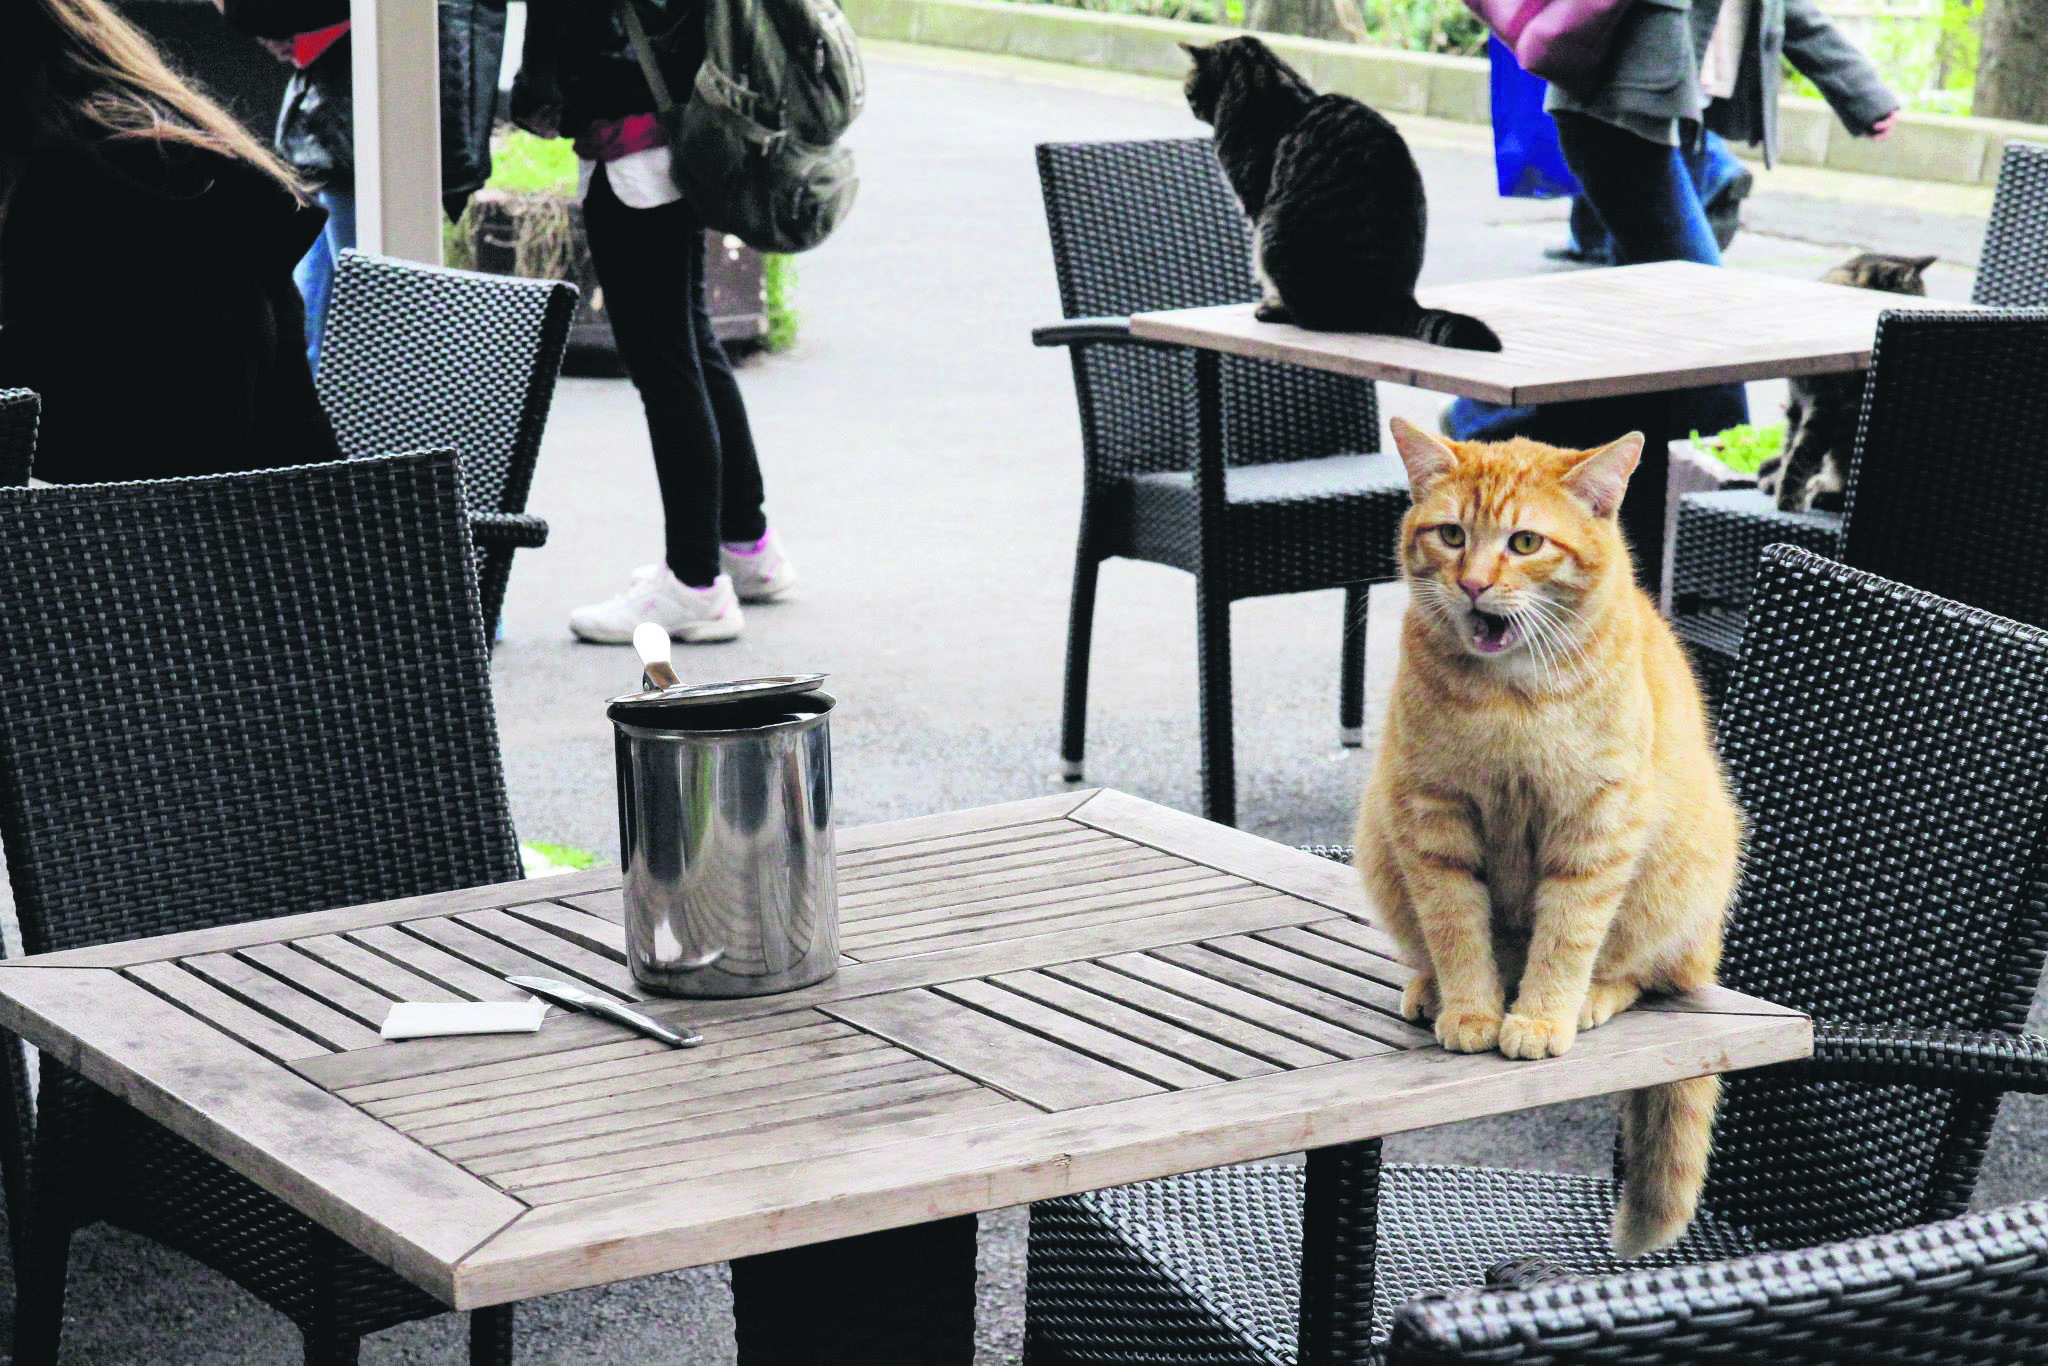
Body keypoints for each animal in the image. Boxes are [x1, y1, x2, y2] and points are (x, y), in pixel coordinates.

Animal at [1179, 38, 1499, 352]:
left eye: (1188, 90)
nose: (1190, 106)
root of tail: (1396, 299)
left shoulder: (1255, 204)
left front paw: (1270, 303)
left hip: (1273, 232)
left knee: (1313, 317)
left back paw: (1277, 311)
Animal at [1359, 419, 1744, 1261]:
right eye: (1451, 535)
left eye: (1526, 542)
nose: (1472, 584)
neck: (1509, 697)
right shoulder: (1432, 813)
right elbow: (1457, 926)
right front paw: (1472, 1006)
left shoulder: (1595, 825)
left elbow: (1567, 937)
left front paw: (1537, 1017)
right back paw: (1430, 986)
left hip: (1676, 883)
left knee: (1650, 972)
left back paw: (1594, 997)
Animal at [1761, 250, 1933, 511]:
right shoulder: (1796, 401)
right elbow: (1788, 447)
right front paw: (1779, 484)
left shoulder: (1827, 408)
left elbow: (1801, 456)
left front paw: (1788, 501)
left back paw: (1826, 494)